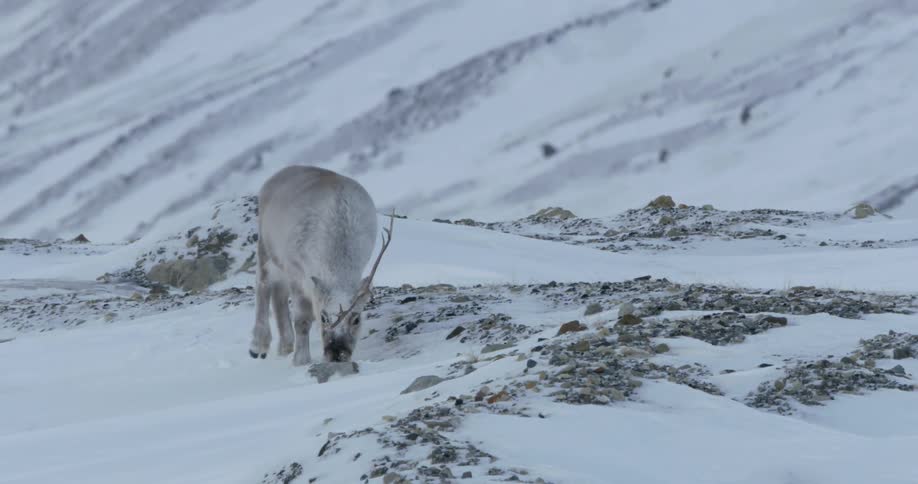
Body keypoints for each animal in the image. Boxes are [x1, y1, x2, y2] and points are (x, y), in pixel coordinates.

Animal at [249, 165, 393, 365]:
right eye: (324, 317)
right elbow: (302, 320)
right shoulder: (296, 272)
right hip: (266, 248)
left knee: (279, 295)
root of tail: (278, 174)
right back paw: (258, 346)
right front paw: (301, 360)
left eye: (356, 319)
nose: (337, 354)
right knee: (263, 285)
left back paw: (286, 346)